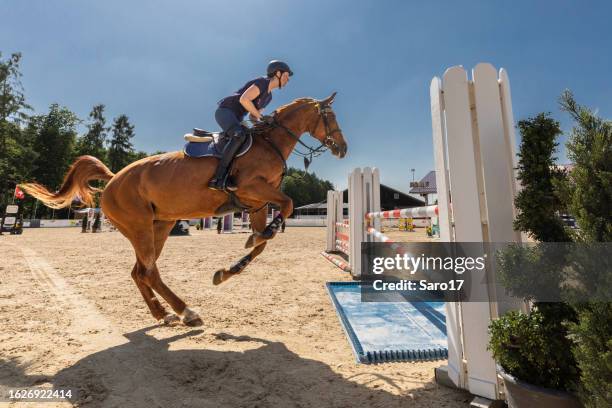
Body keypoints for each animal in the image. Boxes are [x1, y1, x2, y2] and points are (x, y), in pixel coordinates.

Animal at [20, 92, 350, 326]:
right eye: (331, 116)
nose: (342, 148)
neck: (269, 143)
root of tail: (114, 179)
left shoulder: (255, 204)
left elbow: (261, 245)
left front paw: (228, 270)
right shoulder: (250, 189)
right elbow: (287, 206)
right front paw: (258, 237)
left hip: (160, 225)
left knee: (140, 271)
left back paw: (163, 313)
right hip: (139, 226)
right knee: (148, 271)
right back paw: (185, 311)